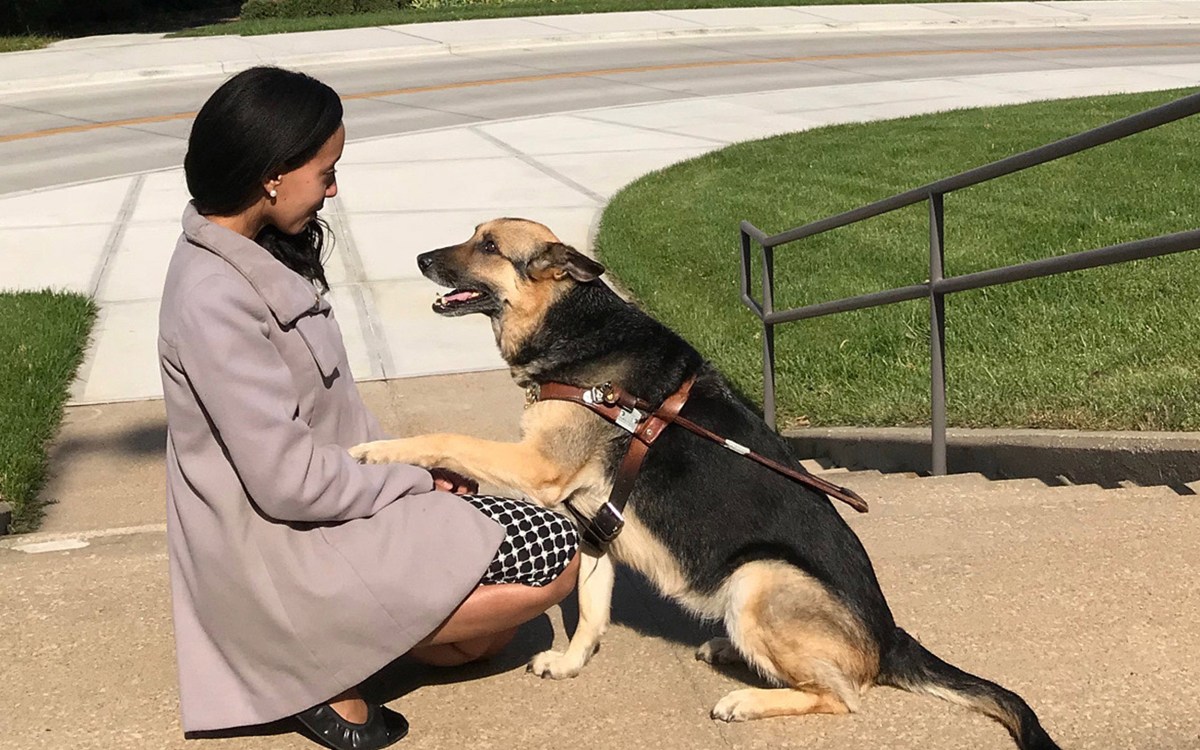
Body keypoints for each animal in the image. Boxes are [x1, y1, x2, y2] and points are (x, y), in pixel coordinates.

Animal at [352, 218, 1060, 748]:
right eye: (475, 236)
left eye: (490, 247)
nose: (420, 257)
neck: (576, 325)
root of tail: (889, 639)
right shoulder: (593, 526)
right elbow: (591, 610)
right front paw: (573, 663)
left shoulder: (538, 468)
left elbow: (447, 438)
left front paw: (375, 452)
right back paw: (727, 652)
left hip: (759, 578)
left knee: (843, 696)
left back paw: (745, 699)